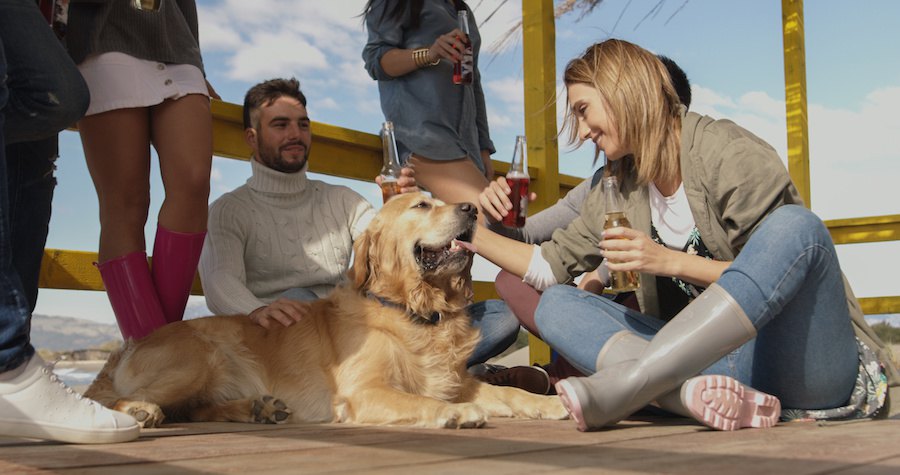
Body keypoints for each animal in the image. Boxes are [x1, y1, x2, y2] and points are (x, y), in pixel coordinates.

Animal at [84, 192, 564, 430]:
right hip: (199, 357)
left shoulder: (456, 380)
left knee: (192, 410)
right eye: (421, 205)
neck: (415, 311)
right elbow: (418, 398)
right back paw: (139, 411)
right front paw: (457, 414)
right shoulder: (363, 390)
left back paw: (257, 410)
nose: (472, 209)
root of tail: (127, 347)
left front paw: (549, 403)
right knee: (111, 400)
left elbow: (509, 394)